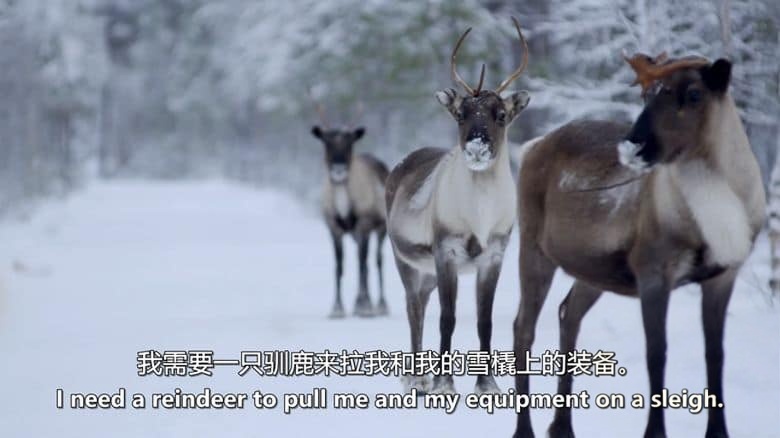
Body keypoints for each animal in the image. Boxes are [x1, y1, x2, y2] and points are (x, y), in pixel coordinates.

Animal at [311, 105, 390, 318]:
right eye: (326, 142)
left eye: (350, 142)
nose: (339, 169)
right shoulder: (333, 228)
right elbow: (339, 266)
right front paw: (337, 308)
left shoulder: (364, 225)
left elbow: (362, 264)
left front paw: (364, 306)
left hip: (381, 229)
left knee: (377, 261)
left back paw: (381, 305)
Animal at [385, 17, 530, 395]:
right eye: (461, 114)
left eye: (501, 114)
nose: (477, 147)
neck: (479, 217)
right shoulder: (445, 251)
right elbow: (447, 318)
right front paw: (443, 383)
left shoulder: (494, 255)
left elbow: (485, 321)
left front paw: (488, 385)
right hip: (407, 261)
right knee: (414, 308)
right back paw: (417, 378)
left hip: (427, 273)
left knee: (421, 303)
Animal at [512, 53, 766, 438]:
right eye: (647, 96)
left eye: (694, 94)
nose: (634, 145)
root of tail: (532, 145)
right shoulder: (653, 272)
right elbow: (656, 353)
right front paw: (654, 432)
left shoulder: (722, 275)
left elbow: (716, 354)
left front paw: (718, 432)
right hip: (533, 247)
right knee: (523, 327)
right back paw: (525, 429)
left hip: (593, 271)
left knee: (568, 313)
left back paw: (562, 426)